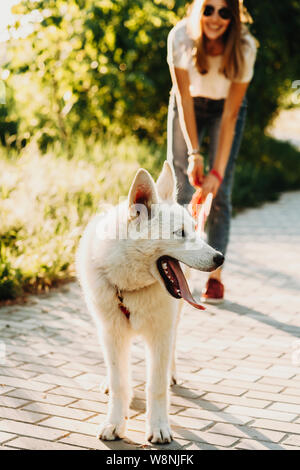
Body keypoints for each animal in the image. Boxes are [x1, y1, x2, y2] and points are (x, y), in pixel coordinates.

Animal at [76, 162, 224, 444]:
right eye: (181, 234)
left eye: (194, 230)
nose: (220, 258)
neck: (129, 288)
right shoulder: (112, 333)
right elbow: (120, 382)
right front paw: (114, 423)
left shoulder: (160, 335)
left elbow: (156, 386)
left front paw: (158, 427)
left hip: (174, 320)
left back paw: (172, 374)